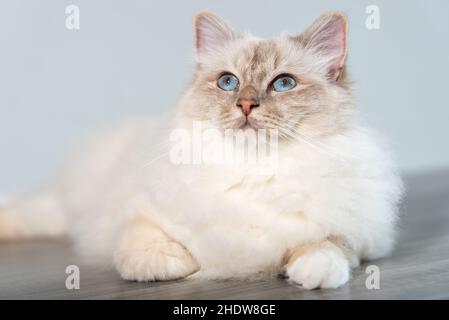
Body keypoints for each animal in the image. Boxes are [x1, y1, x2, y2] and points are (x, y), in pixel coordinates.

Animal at [0, 11, 402, 290]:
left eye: (283, 84)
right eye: (228, 82)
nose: (245, 105)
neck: (254, 170)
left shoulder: (356, 231)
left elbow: (329, 246)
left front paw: (311, 273)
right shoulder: (137, 213)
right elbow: (144, 254)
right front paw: (185, 264)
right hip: (70, 208)